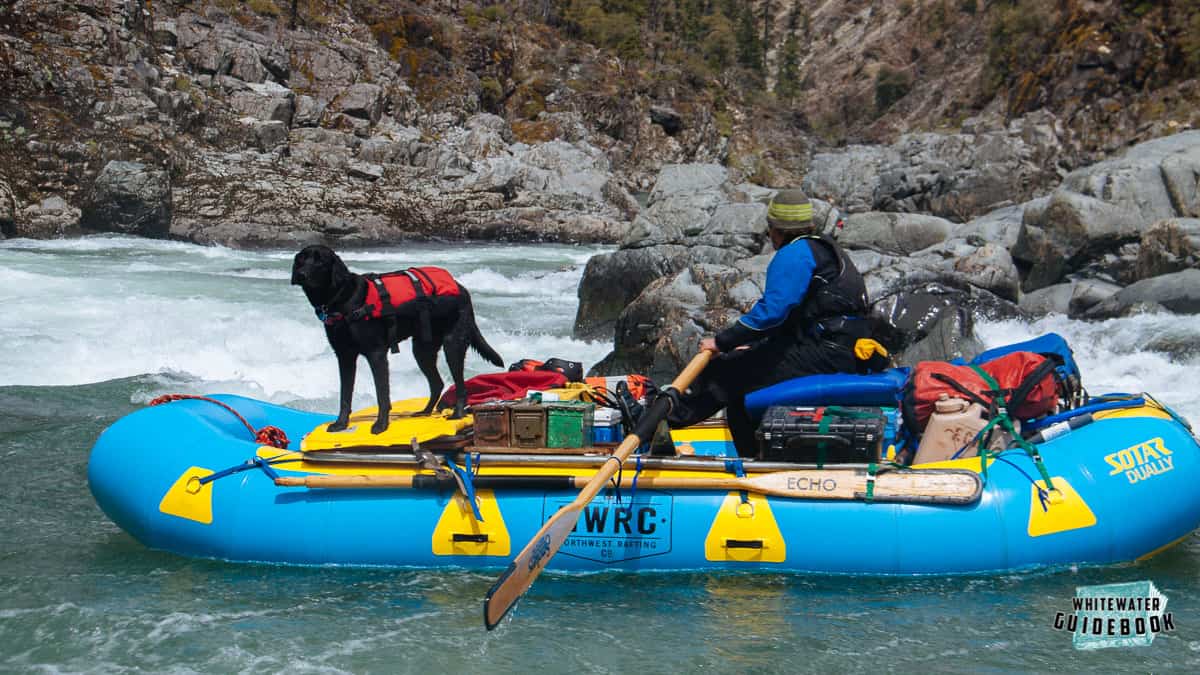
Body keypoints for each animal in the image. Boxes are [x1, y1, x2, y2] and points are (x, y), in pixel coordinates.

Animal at [292, 243, 504, 432]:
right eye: (301, 259)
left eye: (320, 261)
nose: (301, 275)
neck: (343, 299)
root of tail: (462, 288)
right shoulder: (344, 356)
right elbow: (345, 395)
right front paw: (341, 424)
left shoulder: (376, 354)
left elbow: (382, 395)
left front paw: (380, 426)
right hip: (422, 350)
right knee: (438, 383)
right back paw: (425, 412)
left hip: (453, 345)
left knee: (460, 385)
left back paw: (458, 413)